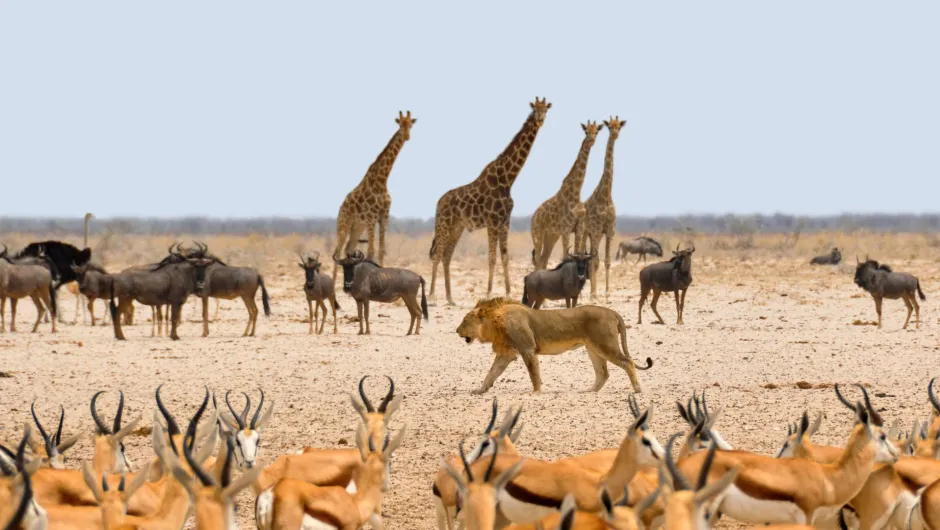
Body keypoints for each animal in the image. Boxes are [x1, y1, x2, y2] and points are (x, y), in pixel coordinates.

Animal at [332, 109, 416, 282]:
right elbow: (371, 251)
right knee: (337, 251)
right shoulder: (371, 217)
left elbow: (381, 250)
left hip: (357, 226)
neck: (382, 181)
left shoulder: (384, 216)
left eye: (410, 125)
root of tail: (341, 207)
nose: (407, 136)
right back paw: (333, 284)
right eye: (400, 125)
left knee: (348, 250)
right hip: (343, 224)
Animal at [428, 97, 552, 304]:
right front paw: (488, 293)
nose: (540, 120)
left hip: (457, 228)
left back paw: (450, 298)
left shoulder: (504, 222)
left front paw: (509, 293)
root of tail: (438, 203)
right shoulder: (493, 222)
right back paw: (431, 296)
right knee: (437, 255)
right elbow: (492, 257)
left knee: (446, 256)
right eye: (535, 110)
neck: (507, 179)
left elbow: (505, 257)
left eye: (546, 110)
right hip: (443, 224)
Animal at [458, 296, 652, 392]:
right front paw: (480, 390)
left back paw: (637, 389)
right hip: (593, 349)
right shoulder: (506, 354)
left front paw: (536, 392)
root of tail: (612, 312)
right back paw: (590, 391)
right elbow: (491, 373)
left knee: (628, 363)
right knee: (603, 373)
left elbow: (533, 373)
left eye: (465, 321)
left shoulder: (528, 349)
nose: (456, 331)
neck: (495, 321)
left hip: (605, 345)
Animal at [528, 119, 604, 268]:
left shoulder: (578, 228)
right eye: (586, 131)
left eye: (596, 131)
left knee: (544, 259)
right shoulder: (565, 229)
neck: (576, 193)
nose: (591, 140)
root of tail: (533, 217)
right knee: (538, 260)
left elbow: (577, 254)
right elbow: (565, 257)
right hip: (537, 233)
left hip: (551, 236)